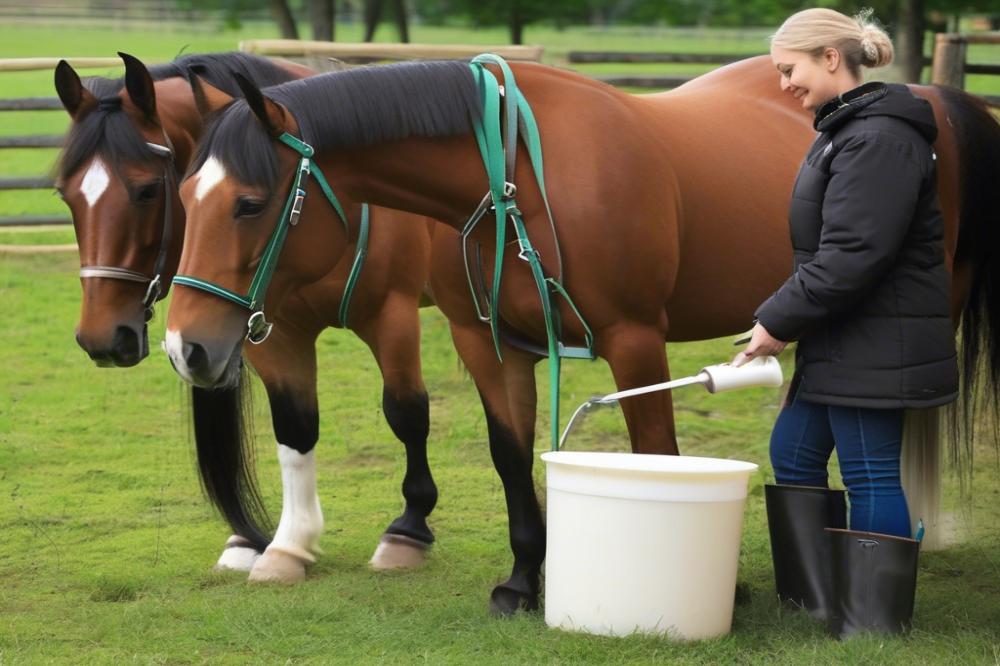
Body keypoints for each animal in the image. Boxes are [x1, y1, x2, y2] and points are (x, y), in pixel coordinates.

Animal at [164, 57, 1000, 612]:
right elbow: (510, 456)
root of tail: (926, 95)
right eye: (183, 194)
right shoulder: (488, 344)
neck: (516, 180)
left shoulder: (635, 340)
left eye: (249, 202)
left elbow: (657, 453)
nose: (185, 348)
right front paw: (523, 581)